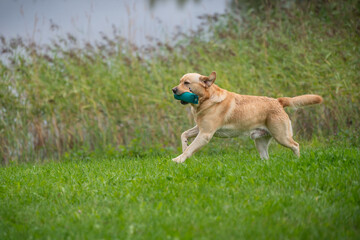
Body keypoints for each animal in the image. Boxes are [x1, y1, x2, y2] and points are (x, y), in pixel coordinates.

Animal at [172, 71, 324, 163]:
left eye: (186, 83)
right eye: (180, 81)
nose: (173, 89)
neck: (207, 99)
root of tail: (278, 101)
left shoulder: (206, 134)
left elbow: (191, 149)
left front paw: (178, 160)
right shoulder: (200, 128)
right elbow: (184, 134)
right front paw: (184, 147)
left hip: (282, 137)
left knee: (295, 145)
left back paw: (297, 160)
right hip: (260, 141)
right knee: (266, 158)